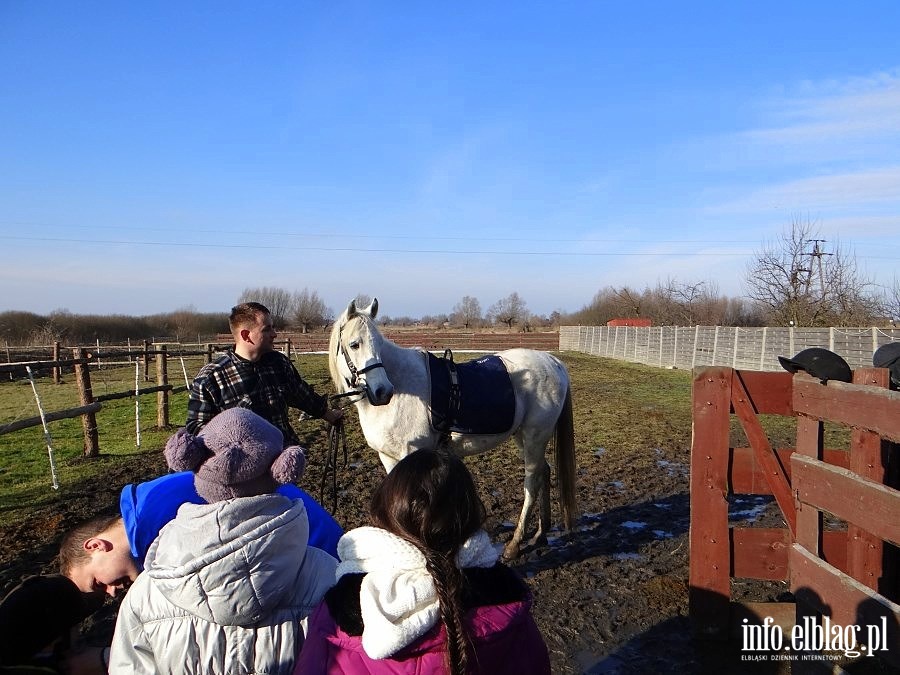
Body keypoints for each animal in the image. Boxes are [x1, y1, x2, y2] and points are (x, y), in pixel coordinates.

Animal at [330, 298, 576, 560]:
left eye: (378, 343)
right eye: (355, 344)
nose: (382, 392)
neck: (403, 389)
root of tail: (553, 362)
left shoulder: (412, 454)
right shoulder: (387, 456)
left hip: (534, 437)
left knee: (531, 482)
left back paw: (514, 544)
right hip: (525, 437)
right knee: (543, 472)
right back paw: (541, 533)